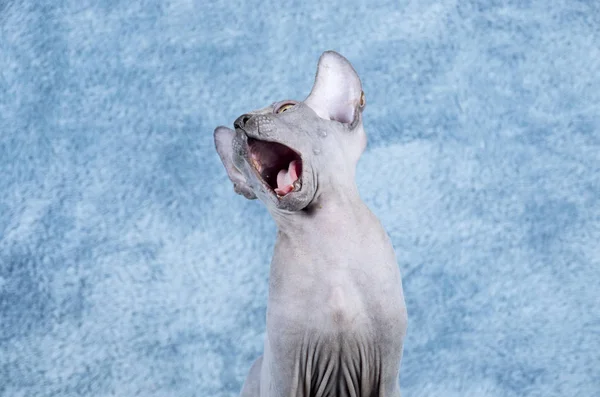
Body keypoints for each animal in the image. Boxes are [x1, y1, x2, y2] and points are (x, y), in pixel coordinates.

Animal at [214, 51, 408, 394]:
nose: (239, 121)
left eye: (286, 108)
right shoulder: (286, 373)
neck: (326, 237)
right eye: (237, 124)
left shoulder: (386, 370)